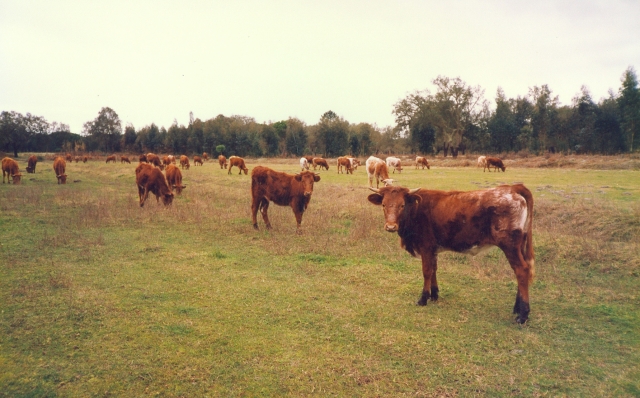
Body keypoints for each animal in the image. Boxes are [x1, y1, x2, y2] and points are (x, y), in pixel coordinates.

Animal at [368, 183, 532, 324]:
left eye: (402, 205)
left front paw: (423, 298)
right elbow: (434, 269)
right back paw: (517, 309)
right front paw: (434, 295)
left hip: (510, 245)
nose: (390, 226)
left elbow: (426, 271)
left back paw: (523, 315)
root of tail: (513, 188)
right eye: (383, 204)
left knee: (521, 271)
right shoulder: (433, 249)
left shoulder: (426, 247)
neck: (416, 208)